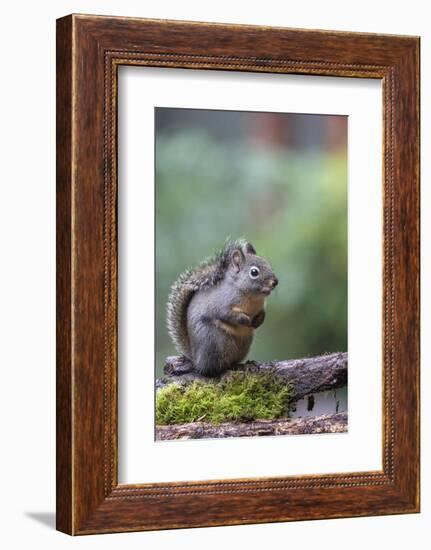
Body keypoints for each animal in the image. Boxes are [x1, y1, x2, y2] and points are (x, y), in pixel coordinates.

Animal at [165, 242, 280, 380]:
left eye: (267, 263)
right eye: (254, 272)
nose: (275, 282)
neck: (251, 296)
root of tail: (196, 358)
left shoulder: (261, 306)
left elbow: (262, 313)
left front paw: (258, 321)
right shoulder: (222, 304)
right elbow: (226, 314)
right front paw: (245, 320)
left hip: (243, 344)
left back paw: (244, 365)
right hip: (213, 341)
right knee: (210, 369)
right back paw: (223, 372)